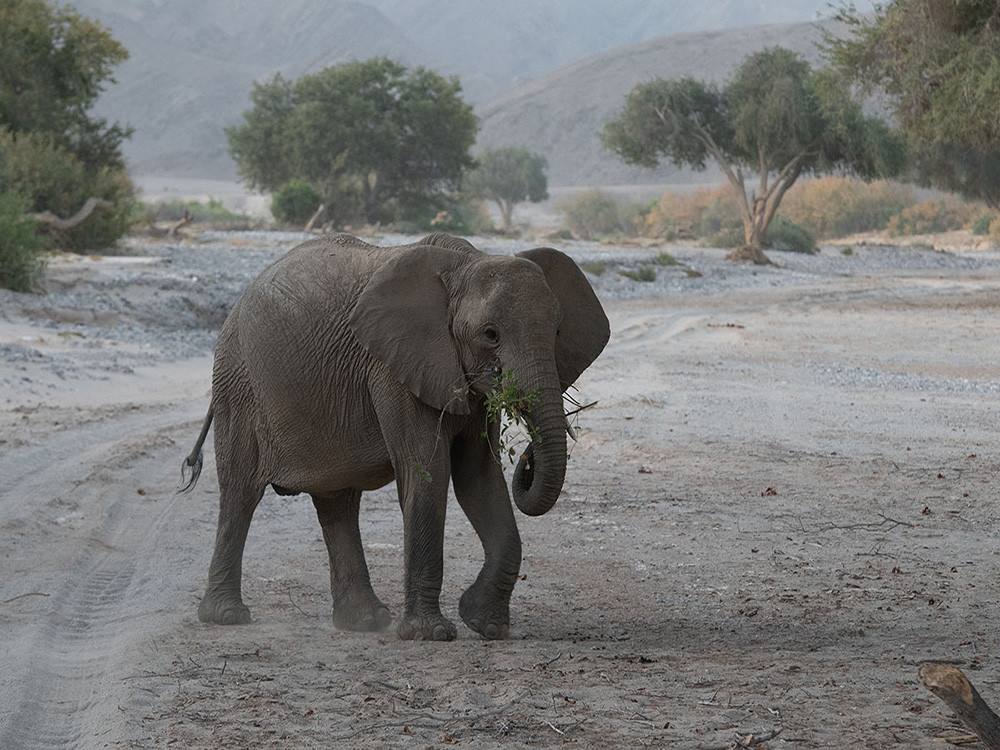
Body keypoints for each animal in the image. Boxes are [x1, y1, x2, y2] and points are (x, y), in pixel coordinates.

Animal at [182, 234, 608, 640]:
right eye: (490, 335)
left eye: (557, 331)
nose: (528, 456)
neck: (466, 262)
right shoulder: (394, 369)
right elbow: (428, 473)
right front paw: (431, 635)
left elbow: (478, 477)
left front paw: (485, 625)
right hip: (238, 384)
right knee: (241, 492)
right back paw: (227, 617)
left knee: (337, 501)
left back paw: (364, 622)